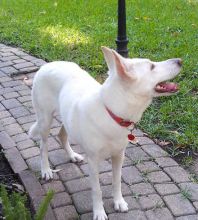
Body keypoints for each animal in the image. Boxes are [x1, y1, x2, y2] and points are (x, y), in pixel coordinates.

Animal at [28, 46, 182, 220]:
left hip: (65, 118)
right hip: (45, 120)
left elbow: (117, 182)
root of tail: (46, 65)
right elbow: (97, 190)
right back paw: (46, 170)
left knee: (61, 135)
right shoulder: (93, 162)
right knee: (43, 146)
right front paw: (99, 212)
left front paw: (118, 202)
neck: (111, 112)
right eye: (151, 67)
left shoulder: (119, 156)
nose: (180, 61)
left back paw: (73, 156)